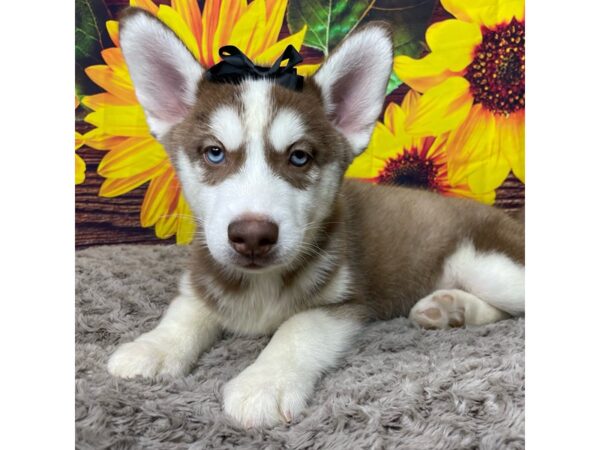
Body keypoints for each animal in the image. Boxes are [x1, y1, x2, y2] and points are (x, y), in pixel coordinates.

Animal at [108, 7, 524, 428]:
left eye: (299, 157)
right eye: (214, 152)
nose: (253, 236)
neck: (259, 286)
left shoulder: (343, 302)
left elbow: (297, 329)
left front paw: (264, 382)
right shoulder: (203, 273)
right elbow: (186, 309)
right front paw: (153, 347)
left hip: (488, 267)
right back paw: (450, 309)